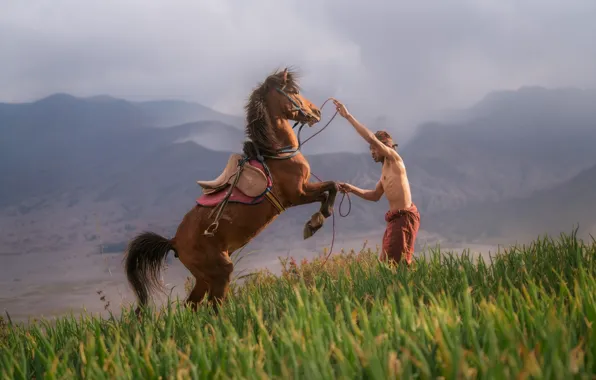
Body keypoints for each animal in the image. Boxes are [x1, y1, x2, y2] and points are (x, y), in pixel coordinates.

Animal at [123, 68, 338, 314]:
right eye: (293, 91)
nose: (316, 112)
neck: (276, 153)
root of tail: (174, 241)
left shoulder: (304, 190)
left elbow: (332, 187)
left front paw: (316, 221)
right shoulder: (297, 195)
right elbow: (332, 187)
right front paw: (315, 222)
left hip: (204, 278)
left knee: (192, 306)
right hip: (220, 272)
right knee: (214, 306)